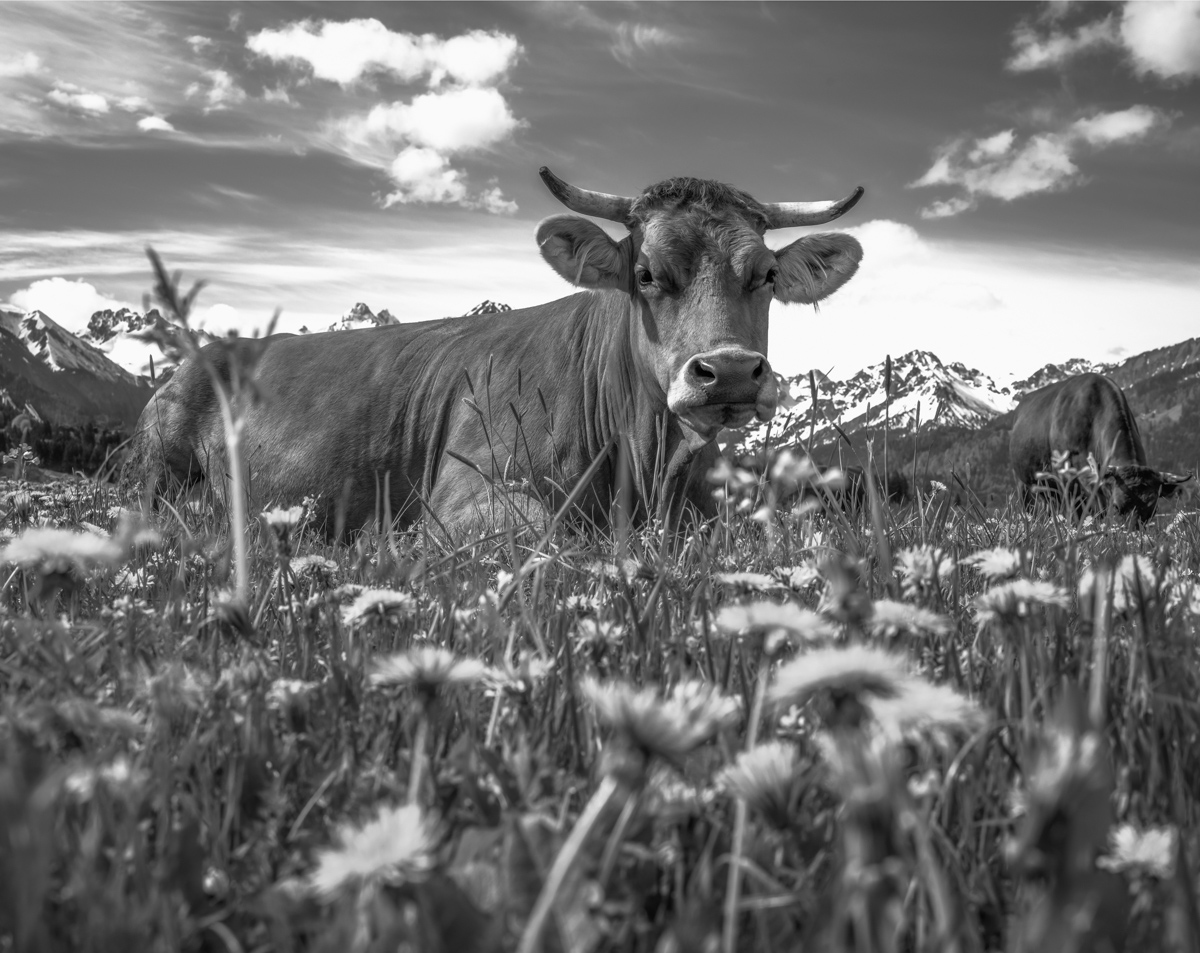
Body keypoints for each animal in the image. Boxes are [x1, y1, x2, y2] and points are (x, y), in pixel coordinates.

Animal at [126, 167, 865, 538]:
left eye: (765, 274)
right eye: (647, 273)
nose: (731, 371)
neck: (646, 465)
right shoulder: (464, 490)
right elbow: (544, 531)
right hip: (156, 466)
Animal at [1009, 373, 1190, 522]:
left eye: (1153, 511)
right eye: (1117, 507)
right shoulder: (1067, 478)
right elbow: (1077, 514)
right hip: (1022, 482)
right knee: (1029, 509)